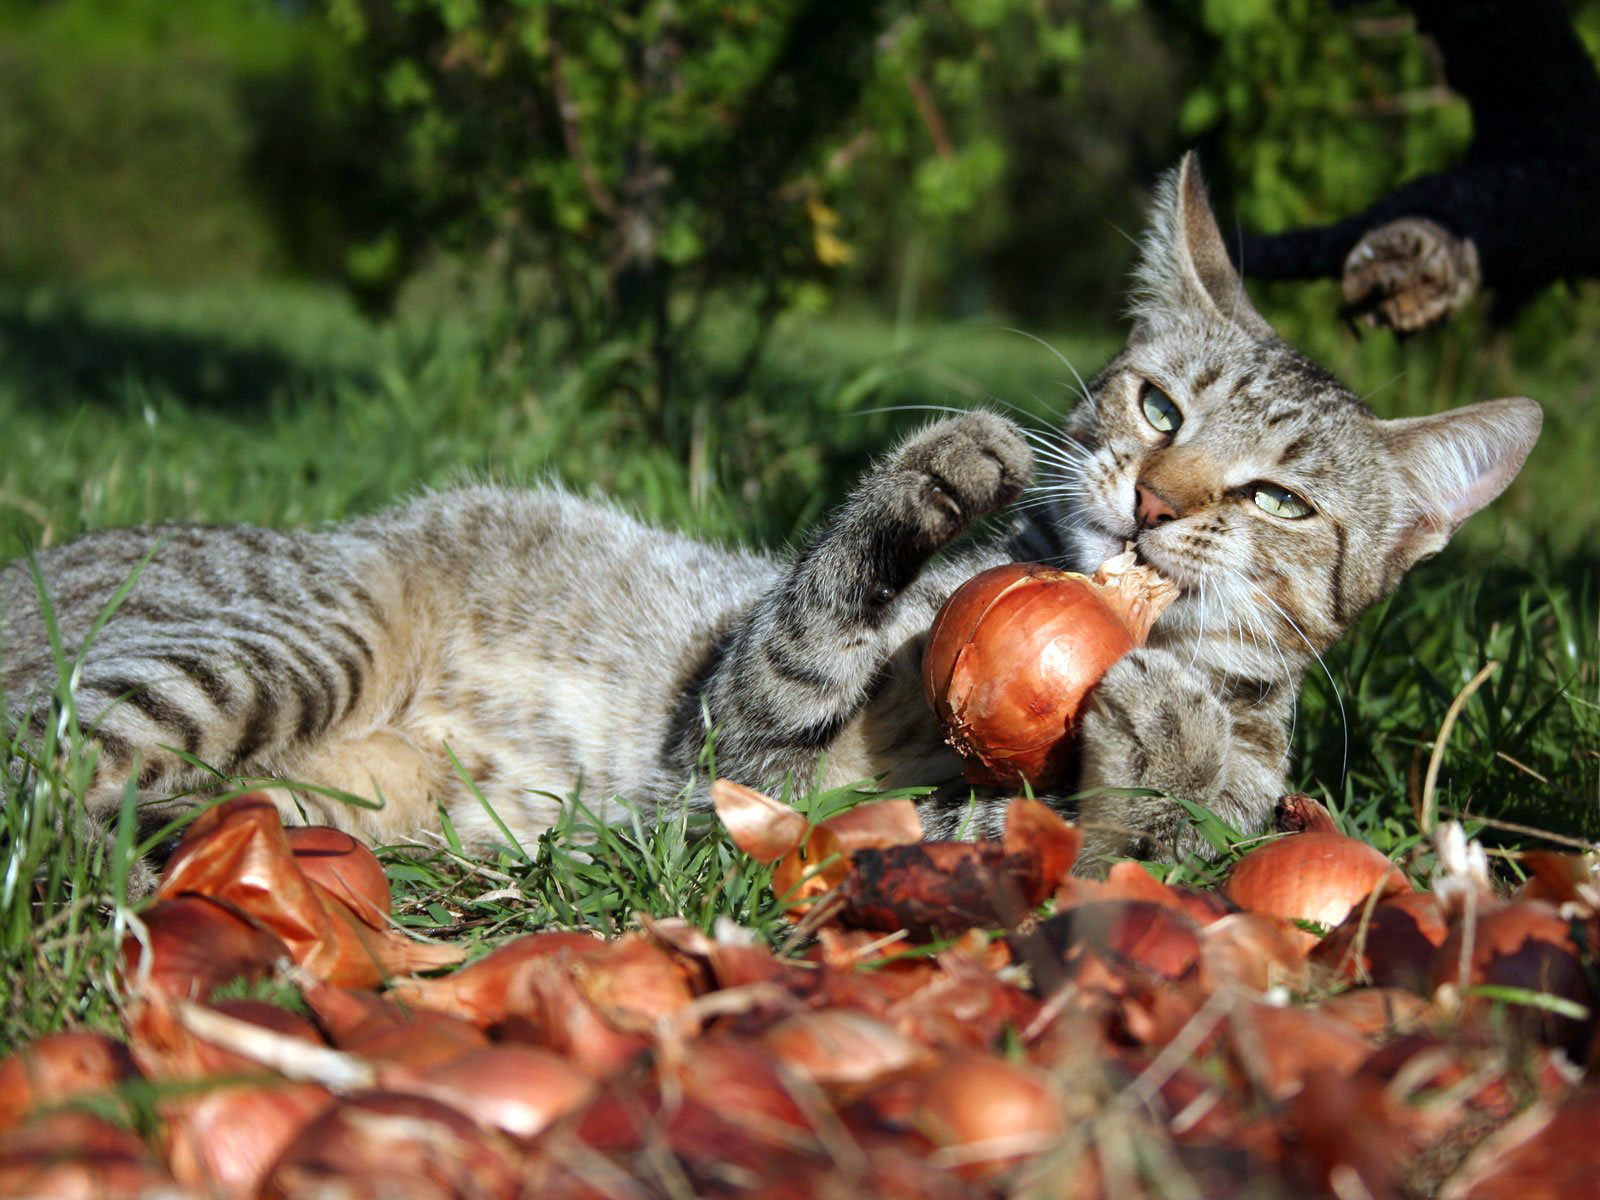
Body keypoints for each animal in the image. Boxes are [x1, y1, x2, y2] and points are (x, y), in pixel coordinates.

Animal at [3, 155, 1548, 883]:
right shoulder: (738, 757)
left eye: (1277, 497)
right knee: (43, 778)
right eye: (1161, 408)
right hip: (276, 641)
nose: (1155, 505)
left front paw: (1160, 756)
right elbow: (806, 628)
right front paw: (934, 476)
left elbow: (1133, 846)